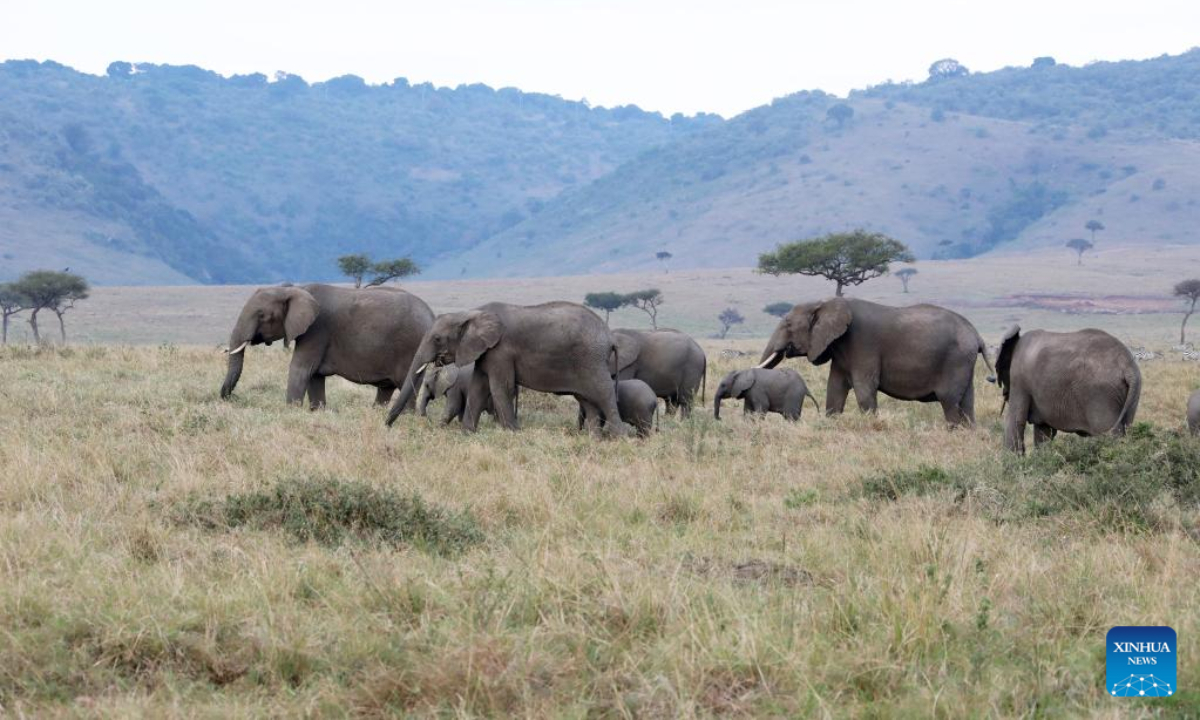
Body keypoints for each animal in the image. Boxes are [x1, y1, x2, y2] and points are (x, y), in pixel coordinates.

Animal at [220, 283, 434, 409]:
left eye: (262, 315)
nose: (231, 398)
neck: (293, 288)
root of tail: (431, 315)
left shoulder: (316, 330)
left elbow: (300, 369)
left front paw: (291, 411)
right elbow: (314, 376)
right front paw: (316, 411)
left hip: (411, 347)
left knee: (407, 387)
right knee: (386, 389)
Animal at [386, 301, 629, 436]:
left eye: (437, 339)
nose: (387, 426)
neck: (472, 313)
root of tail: (610, 337)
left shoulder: (501, 350)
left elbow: (499, 387)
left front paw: (513, 433)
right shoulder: (485, 352)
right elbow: (478, 387)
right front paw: (467, 434)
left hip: (592, 361)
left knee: (603, 393)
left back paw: (619, 439)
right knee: (588, 401)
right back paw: (595, 440)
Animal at [758, 297, 992, 426]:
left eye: (788, 324)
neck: (824, 303)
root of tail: (977, 336)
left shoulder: (863, 345)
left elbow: (864, 389)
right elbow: (835, 389)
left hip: (955, 360)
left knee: (949, 401)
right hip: (965, 362)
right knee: (966, 403)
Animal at [996, 326, 1141, 453]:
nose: (1004, 393)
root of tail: (1127, 366)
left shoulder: (1019, 379)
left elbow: (1015, 420)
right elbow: (1043, 431)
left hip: (1101, 394)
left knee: (1110, 432)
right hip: (1131, 391)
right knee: (1127, 426)